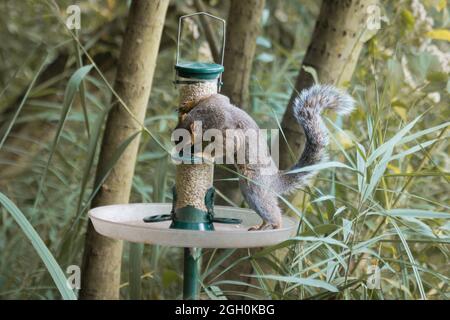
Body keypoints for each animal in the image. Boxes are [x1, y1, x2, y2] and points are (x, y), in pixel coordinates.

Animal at [176, 84, 356, 230]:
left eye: (181, 139)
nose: (177, 151)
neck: (205, 115)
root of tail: (274, 180)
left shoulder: (225, 130)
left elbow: (227, 146)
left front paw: (203, 154)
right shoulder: (217, 101)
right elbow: (216, 97)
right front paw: (188, 105)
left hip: (254, 189)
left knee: (270, 211)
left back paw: (274, 225)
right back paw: (261, 226)